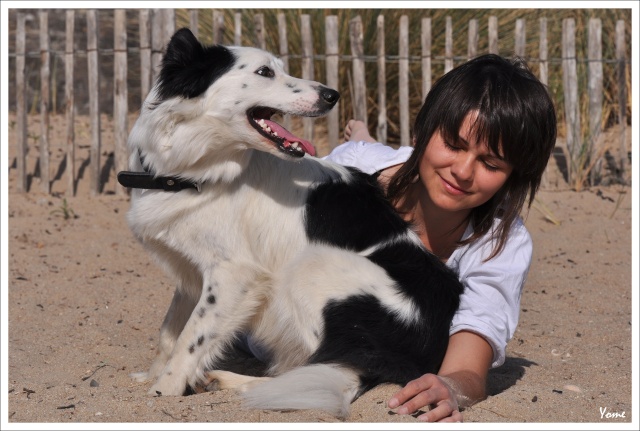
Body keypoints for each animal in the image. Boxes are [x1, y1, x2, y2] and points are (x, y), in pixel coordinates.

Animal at [117, 28, 462, 420]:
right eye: (265, 72)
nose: (332, 95)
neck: (194, 170)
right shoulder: (191, 271)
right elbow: (170, 330)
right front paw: (153, 375)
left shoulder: (235, 274)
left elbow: (193, 336)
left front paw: (166, 388)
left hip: (314, 264)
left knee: (325, 369)